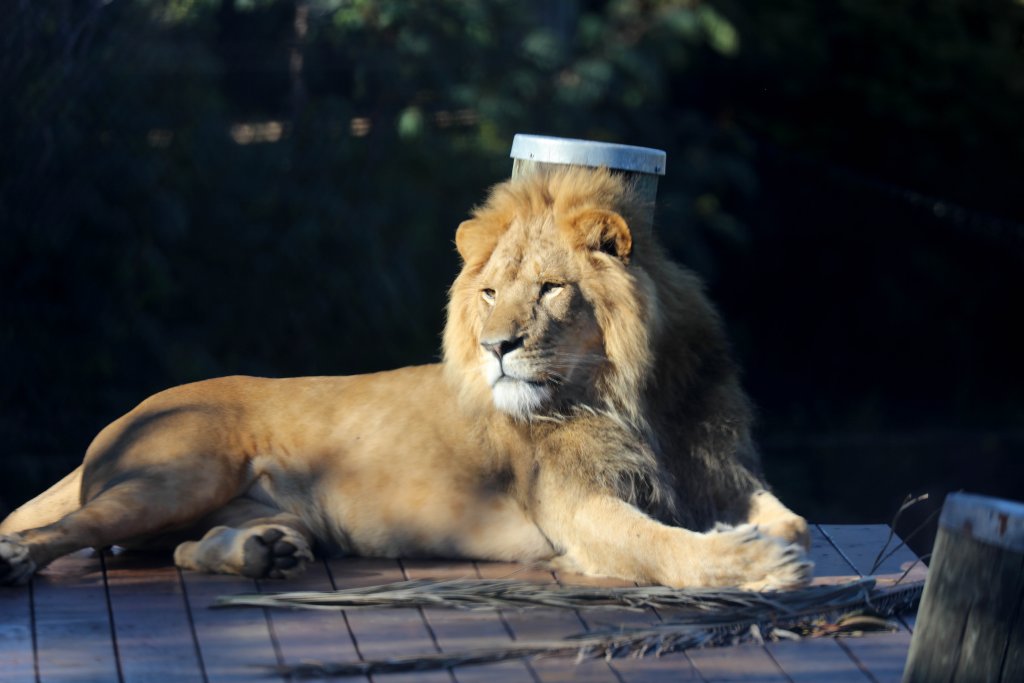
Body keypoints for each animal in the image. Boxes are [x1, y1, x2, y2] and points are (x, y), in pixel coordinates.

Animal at [0, 166, 811, 590]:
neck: (633, 397)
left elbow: (793, 517)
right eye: (490, 292)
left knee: (171, 551)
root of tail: (127, 413)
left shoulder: (716, 467)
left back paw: (265, 553)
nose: (496, 346)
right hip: (178, 475)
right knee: (66, 528)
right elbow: (657, 544)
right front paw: (750, 561)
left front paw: (771, 537)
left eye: (552, 289)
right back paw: (15, 559)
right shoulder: (575, 506)